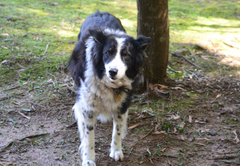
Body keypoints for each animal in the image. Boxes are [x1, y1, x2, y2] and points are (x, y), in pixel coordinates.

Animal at [69, 11, 150, 165]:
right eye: (107, 53)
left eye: (126, 55)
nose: (112, 71)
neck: (109, 85)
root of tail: (100, 12)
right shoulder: (88, 107)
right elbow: (89, 136)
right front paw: (88, 159)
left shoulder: (123, 104)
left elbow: (117, 130)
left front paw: (116, 151)